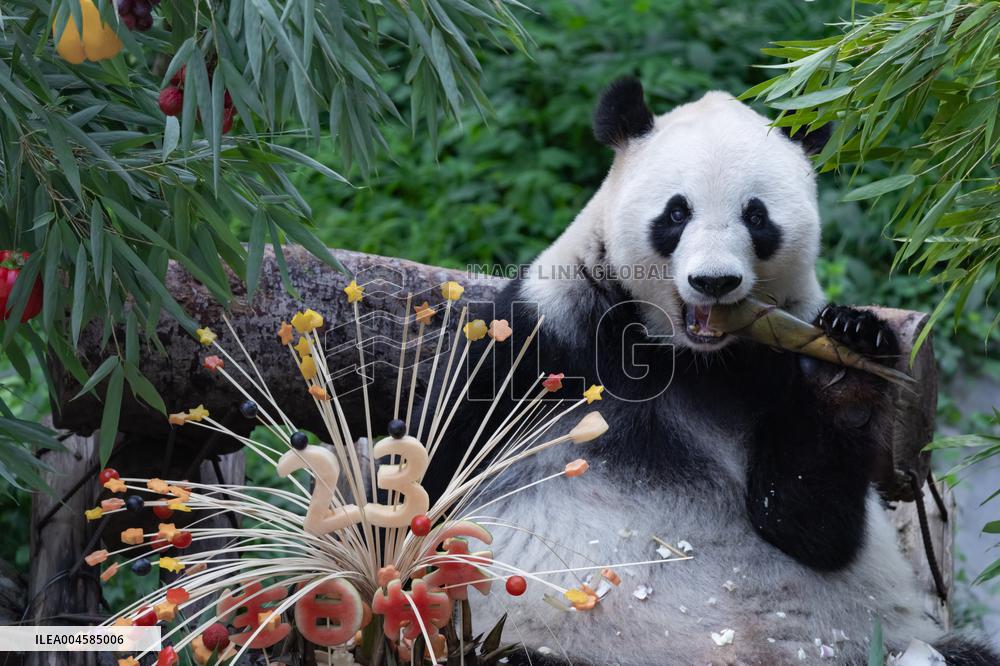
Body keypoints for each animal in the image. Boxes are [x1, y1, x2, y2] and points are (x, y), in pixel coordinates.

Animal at [426, 78, 997, 665]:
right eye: (677, 213)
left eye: (757, 217)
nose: (715, 281)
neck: (682, 353)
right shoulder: (546, 334)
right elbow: (447, 473)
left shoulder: (773, 362)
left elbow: (809, 526)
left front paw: (848, 357)